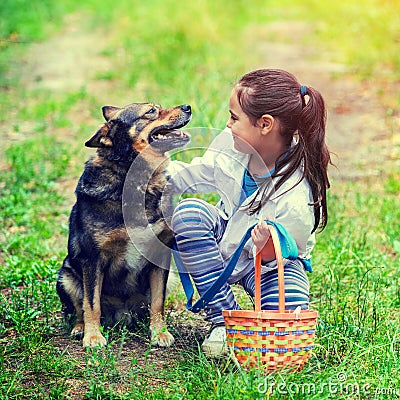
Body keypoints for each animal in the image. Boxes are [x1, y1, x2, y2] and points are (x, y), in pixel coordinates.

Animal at [55, 102, 191, 346]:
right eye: (151, 111)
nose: (187, 106)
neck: (136, 179)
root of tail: (122, 313)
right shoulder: (92, 258)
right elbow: (91, 303)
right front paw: (93, 336)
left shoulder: (160, 255)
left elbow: (158, 302)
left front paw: (159, 332)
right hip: (66, 275)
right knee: (78, 308)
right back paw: (80, 328)